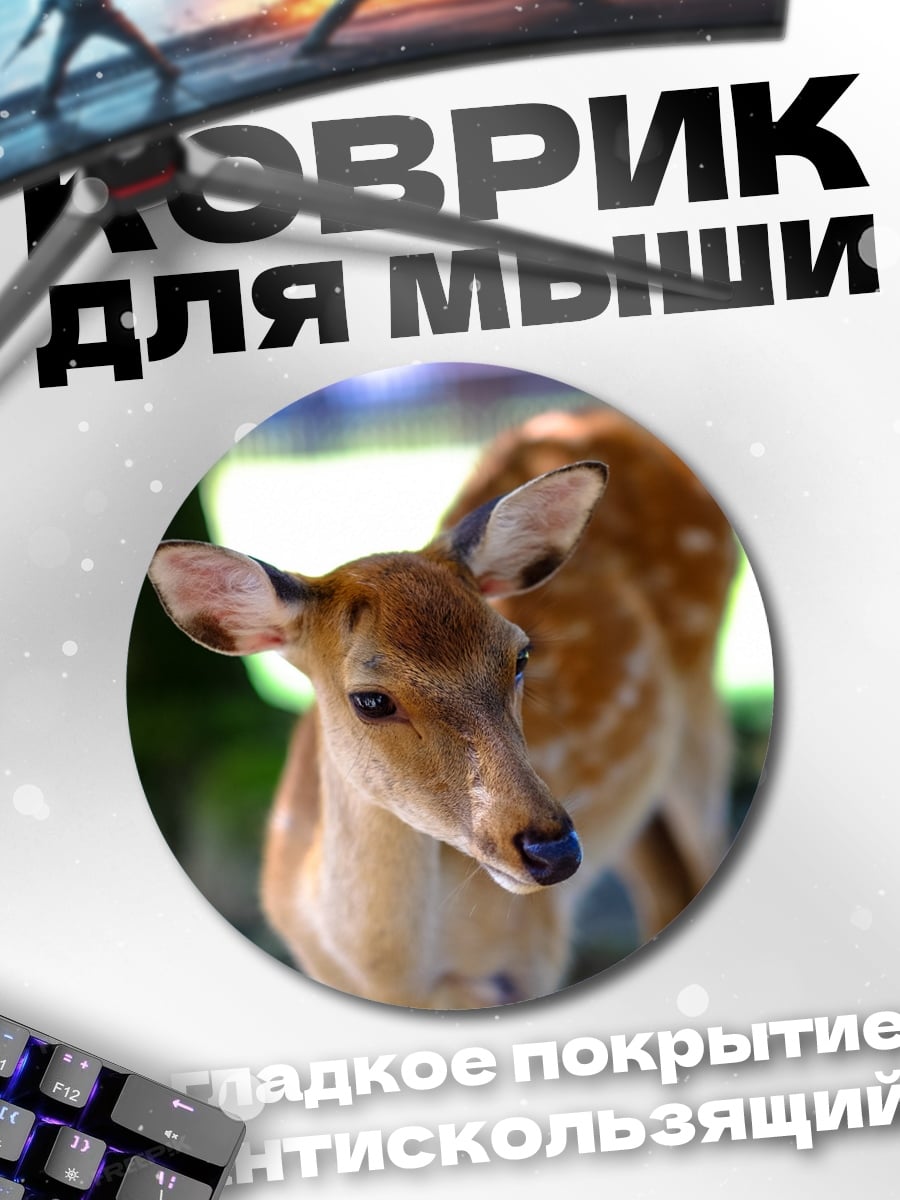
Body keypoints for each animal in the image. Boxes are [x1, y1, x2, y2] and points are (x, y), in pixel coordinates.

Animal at [148, 407, 737, 1009]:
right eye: (370, 699)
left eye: (520, 654)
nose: (554, 850)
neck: (391, 976)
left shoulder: (528, 955)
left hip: (699, 698)